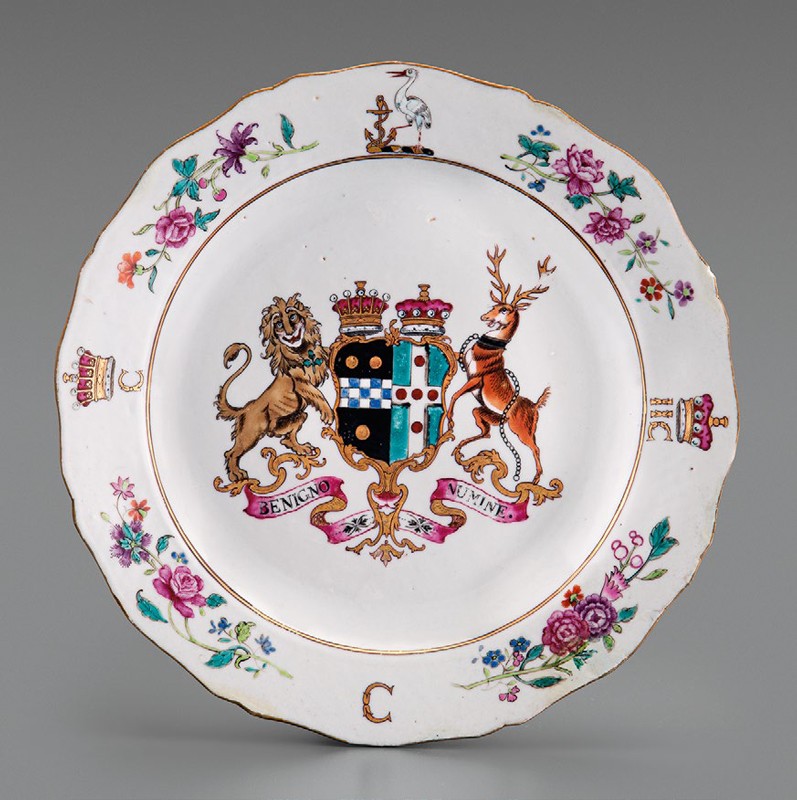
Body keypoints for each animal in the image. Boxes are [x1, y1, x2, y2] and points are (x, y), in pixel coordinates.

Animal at [215, 293, 334, 482]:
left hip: (297, 416)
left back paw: (301, 448)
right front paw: (328, 413)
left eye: (292, 317)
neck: (303, 351)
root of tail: (245, 409)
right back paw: (237, 475)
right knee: (231, 453)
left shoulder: (320, 357)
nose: (289, 332)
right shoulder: (301, 382)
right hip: (251, 433)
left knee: (286, 438)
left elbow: (328, 351)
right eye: (278, 324)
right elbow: (318, 394)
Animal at [446, 245, 551, 484]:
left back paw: (535, 479)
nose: (484, 317)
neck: (487, 350)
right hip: (486, 414)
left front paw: (449, 418)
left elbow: (455, 394)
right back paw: (462, 446)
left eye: (504, 310)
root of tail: (534, 406)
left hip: (520, 429)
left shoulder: (476, 379)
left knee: (536, 448)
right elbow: (456, 354)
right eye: (495, 305)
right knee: (486, 432)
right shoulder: (465, 365)